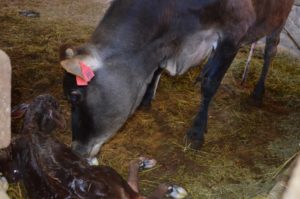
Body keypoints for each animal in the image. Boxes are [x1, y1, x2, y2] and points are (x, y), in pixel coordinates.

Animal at [60, 0, 292, 159]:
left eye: (75, 96)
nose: (75, 151)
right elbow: (157, 70)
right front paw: (146, 100)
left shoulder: (233, 34)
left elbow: (210, 85)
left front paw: (196, 133)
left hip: (280, 17)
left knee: (271, 49)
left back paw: (258, 93)